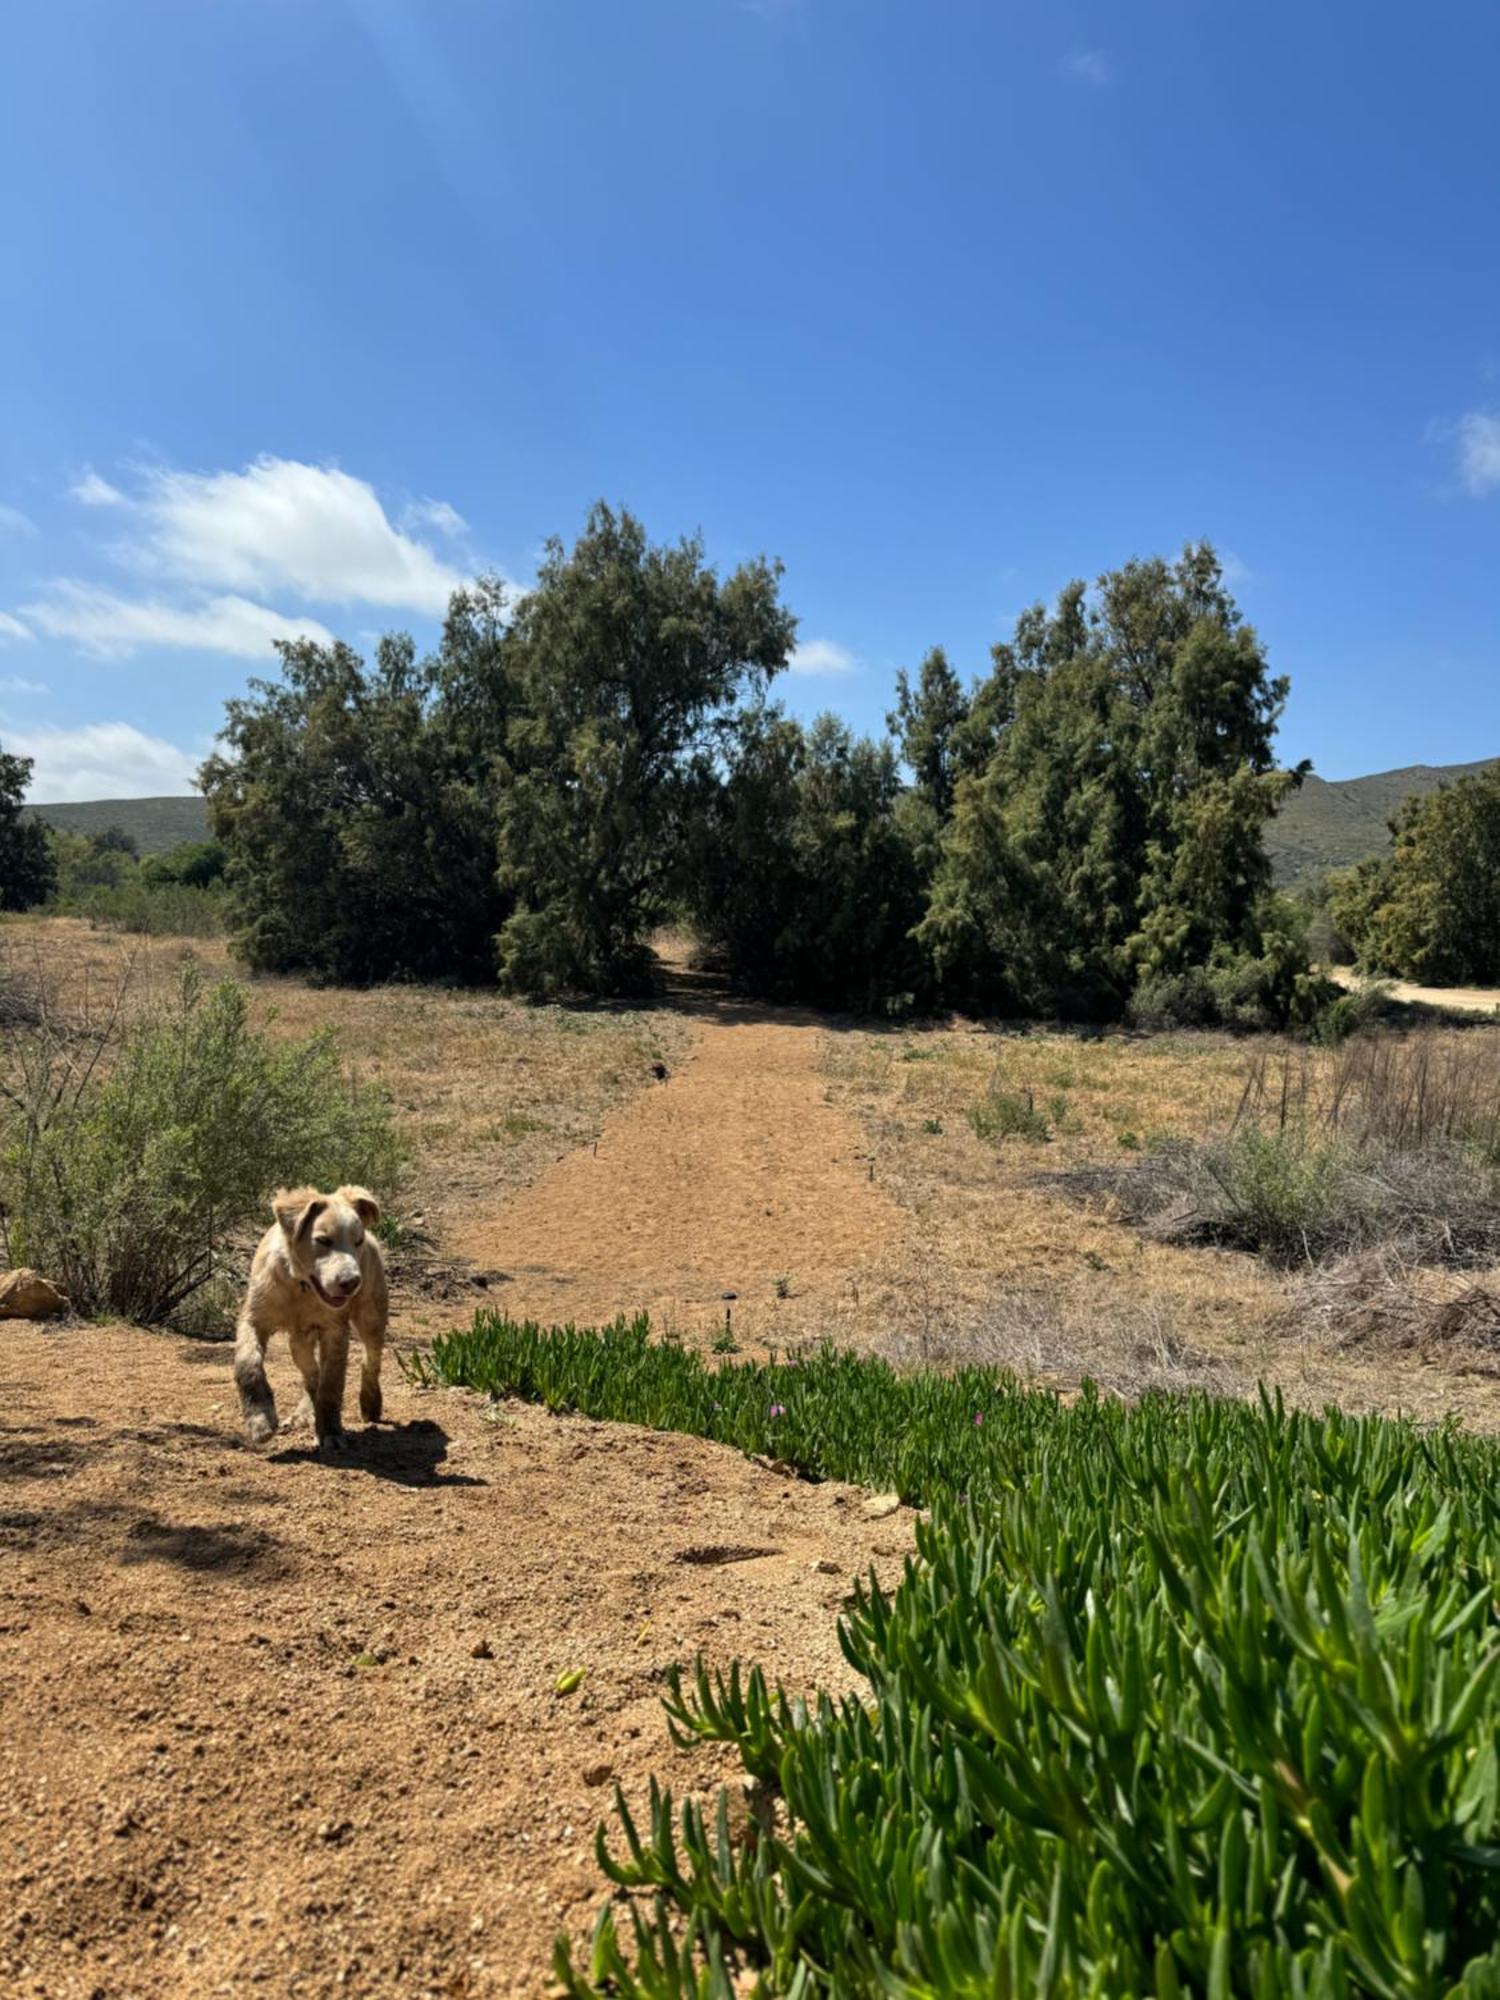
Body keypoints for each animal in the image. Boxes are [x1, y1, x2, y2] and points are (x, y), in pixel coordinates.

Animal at [232, 1184, 390, 1456]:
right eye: (322, 1240)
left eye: (357, 1242)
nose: (351, 1282)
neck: (302, 1287)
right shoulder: (253, 1319)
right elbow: (248, 1365)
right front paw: (260, 1421)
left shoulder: (335, 1330)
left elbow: (330, 1385)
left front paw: (331, 1433)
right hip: (298, 1342)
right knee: (311, 1372)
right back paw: (306, 1411)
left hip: (371, 1316)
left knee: (370, 1360)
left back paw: (370, 1403)